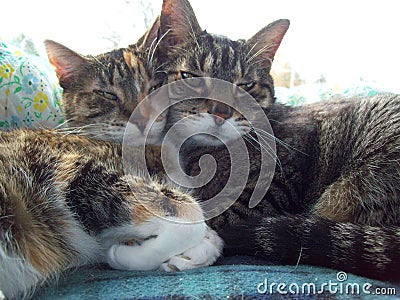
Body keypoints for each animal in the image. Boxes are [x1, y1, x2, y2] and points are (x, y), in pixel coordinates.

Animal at [0, 17, 222, 300]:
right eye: (107, 94)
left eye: (154, 87)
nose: (141, 117)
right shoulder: (71, 167)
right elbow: (191, 214)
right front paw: (123, 255)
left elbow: (211, 236)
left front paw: (189, 254)